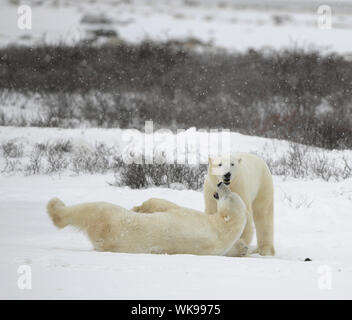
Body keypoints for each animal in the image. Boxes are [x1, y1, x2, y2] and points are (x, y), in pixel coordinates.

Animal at [46, 182, 248, 255]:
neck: (221, 229)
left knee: (93, 209)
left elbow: (166, 205)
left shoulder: (189, 216)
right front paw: (242, 246)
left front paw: (139, 207)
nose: (221, 183)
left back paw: (55, 206)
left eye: (229, 196)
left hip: (110, 220)